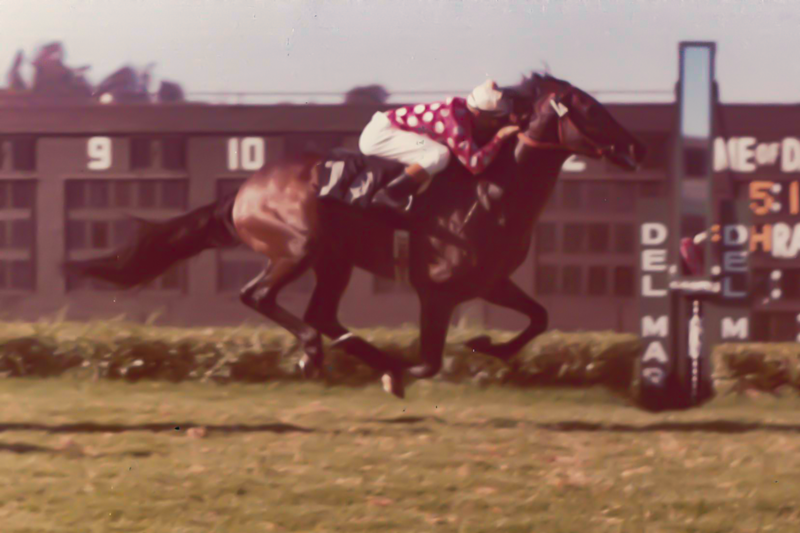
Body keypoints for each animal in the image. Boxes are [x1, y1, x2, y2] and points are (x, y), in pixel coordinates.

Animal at [65, 76, 648, 400]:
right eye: (590, 109)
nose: (635, 148)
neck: (492, 192)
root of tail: (244, 189)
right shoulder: (435, 290)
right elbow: (430, 360)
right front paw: (401, 373)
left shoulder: (491, 281)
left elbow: (540, 318)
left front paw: (486, 344)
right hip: (296, 248)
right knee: (258, 296)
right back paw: (313, 353)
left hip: (334, 260)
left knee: (322, 313)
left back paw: (344, 352)